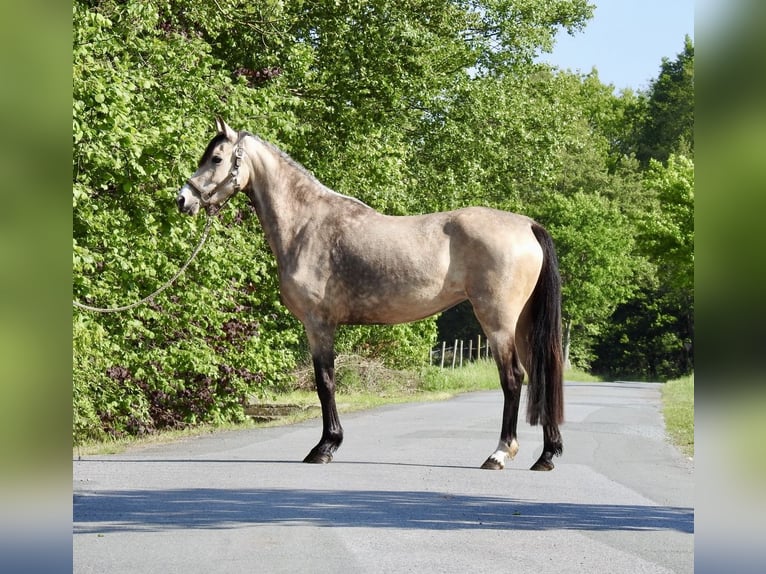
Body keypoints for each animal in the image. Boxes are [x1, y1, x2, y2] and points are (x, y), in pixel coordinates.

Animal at [177, 117, 564, 471]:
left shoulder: (318, 324)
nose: (183, 199)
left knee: (513, 378)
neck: (306, 225)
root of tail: (527, 226)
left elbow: (325, 382)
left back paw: (499, 453)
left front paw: (325, 447)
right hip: (523, 323)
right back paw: (546, 456)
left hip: (498, 322)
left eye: (216, 158)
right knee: (541, 373)